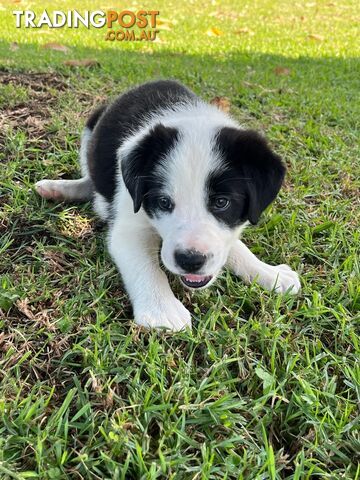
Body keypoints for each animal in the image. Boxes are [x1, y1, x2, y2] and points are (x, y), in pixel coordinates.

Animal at [35, 80, 300, 332]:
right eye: (163, 202)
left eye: (221, 202)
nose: (190, 261)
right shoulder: (129, 226)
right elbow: (145, 266)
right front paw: (161, 309)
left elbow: (235, 246)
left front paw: (270, 273)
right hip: (90, 129)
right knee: (90, 180)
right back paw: (60, 189)